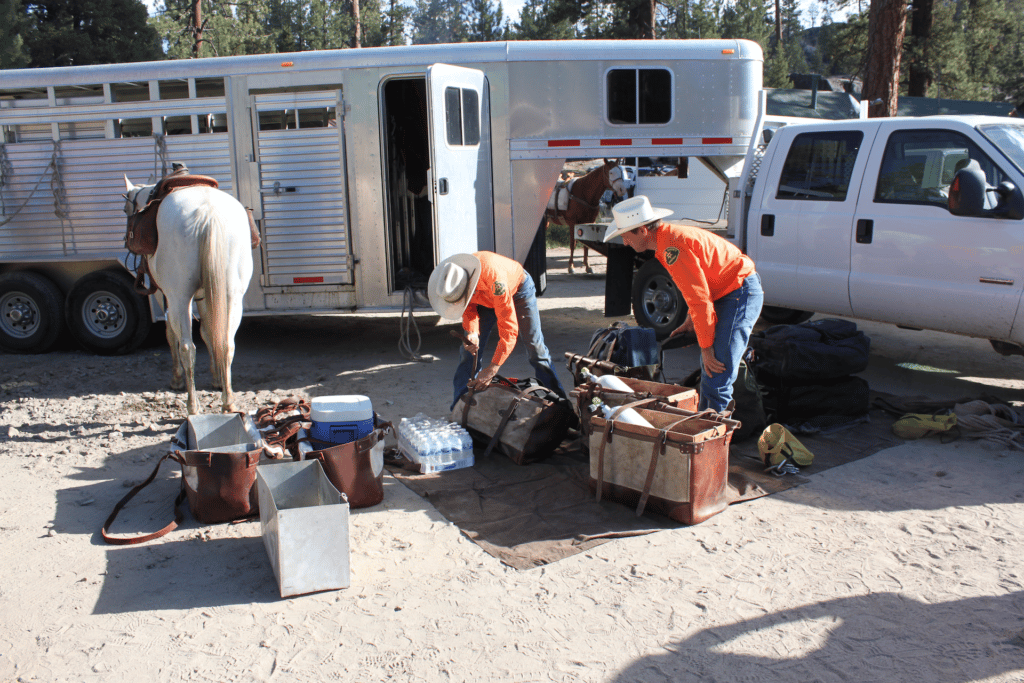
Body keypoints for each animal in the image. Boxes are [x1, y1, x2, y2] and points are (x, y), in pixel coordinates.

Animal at [121, 179, 253, 413]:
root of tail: (208, 213)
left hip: (180, 298)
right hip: (232, 297)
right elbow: (209, 332)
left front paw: (176, 379)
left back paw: (193, 405)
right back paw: (228, 401)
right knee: (227, 343)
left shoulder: (166, 296)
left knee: (187, 348)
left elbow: (170, 335)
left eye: (125, 209)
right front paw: (217, 378)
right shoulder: (205, 297)